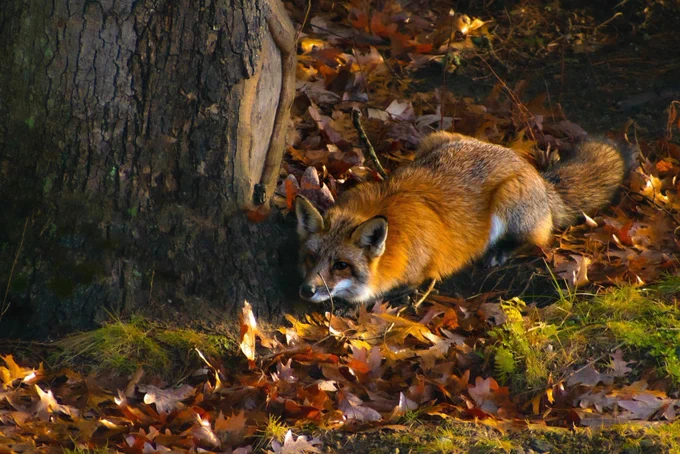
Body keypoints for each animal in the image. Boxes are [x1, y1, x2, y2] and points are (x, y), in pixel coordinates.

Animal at [295, 131, 634, 304]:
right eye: (310, 258)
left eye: (341, 265)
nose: (306, 289)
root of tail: (532, 170)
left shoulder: (423, 270)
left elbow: (414, 283)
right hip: (434, 138)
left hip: (509, 200)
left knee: (538, 240)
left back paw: (500, 252)